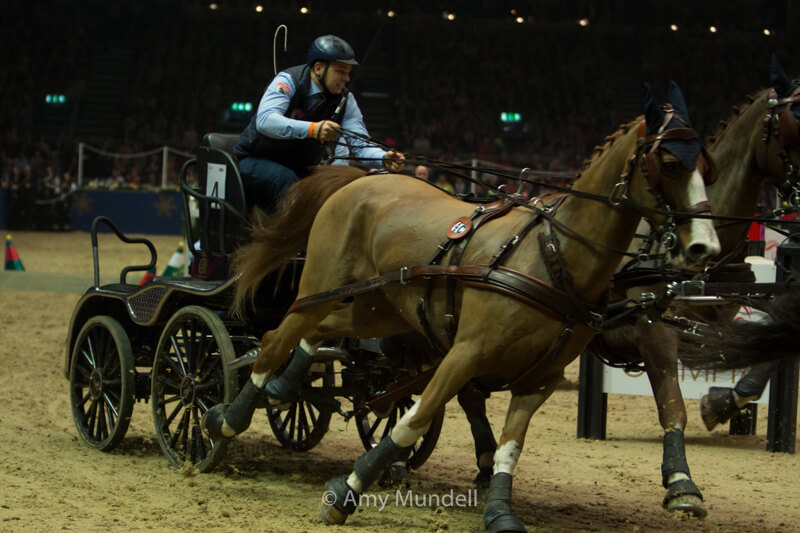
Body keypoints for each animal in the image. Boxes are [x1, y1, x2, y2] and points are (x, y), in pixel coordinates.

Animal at [202, 81, 720, 532]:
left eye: (707, 167)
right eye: (669, 162)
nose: (705, 248)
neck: (552, 257)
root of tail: (359, 180)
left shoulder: (539, 379)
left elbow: (509, 447)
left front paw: (500, 511)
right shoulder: (464, 353)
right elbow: (414, 421)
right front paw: (346, 491)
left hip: (379, 307)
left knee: (318, 331)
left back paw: (280, 389)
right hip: (320, 282)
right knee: (279, 336)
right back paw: (226, 421)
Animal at [585, 55, 800, 518]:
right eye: (797, 120)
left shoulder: (725, 316)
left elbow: (771, 348)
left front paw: (723, 402)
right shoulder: (653, 327)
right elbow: (672, 405)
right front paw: (682, 482)